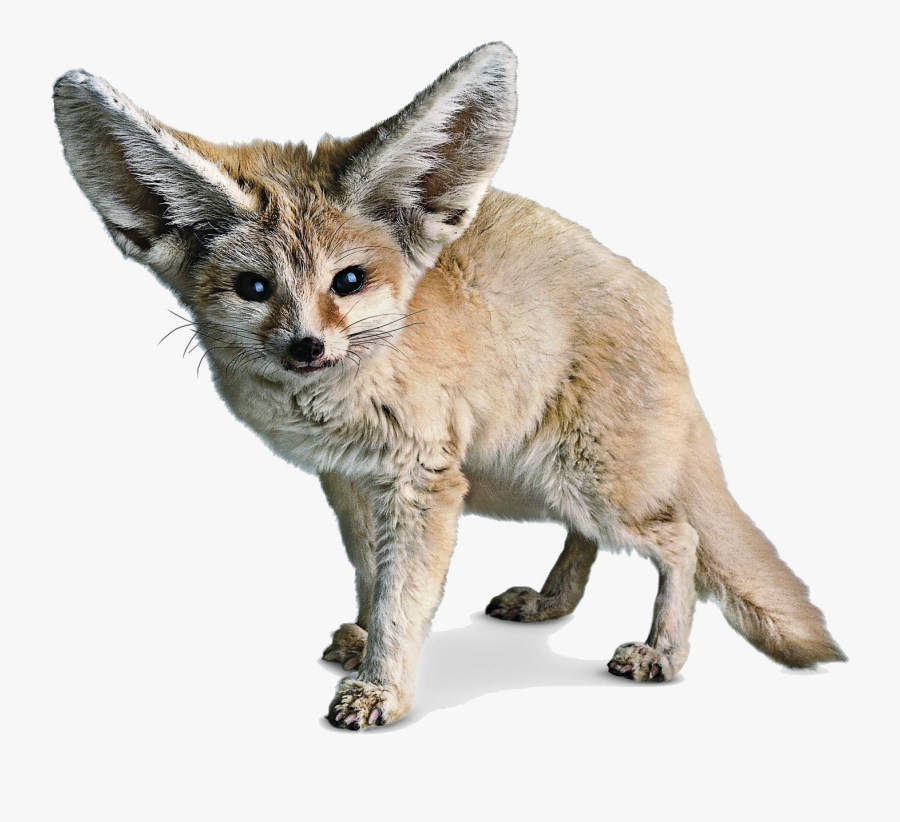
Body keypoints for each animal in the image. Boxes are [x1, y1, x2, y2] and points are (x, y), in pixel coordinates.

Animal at [53, 42, 844, 730]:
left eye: (348, 281)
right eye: (253, 288)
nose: (308, 346)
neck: (336, 403)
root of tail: (655, 297)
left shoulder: (421, 481)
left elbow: (403, 598)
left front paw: (381, 688)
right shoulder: (349, 481)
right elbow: (371, 576)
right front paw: (365, 642)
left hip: (578, 481)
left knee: (679, 538)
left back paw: (661, 651)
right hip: (529, 480)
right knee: (590, 537)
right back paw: (551, 602)